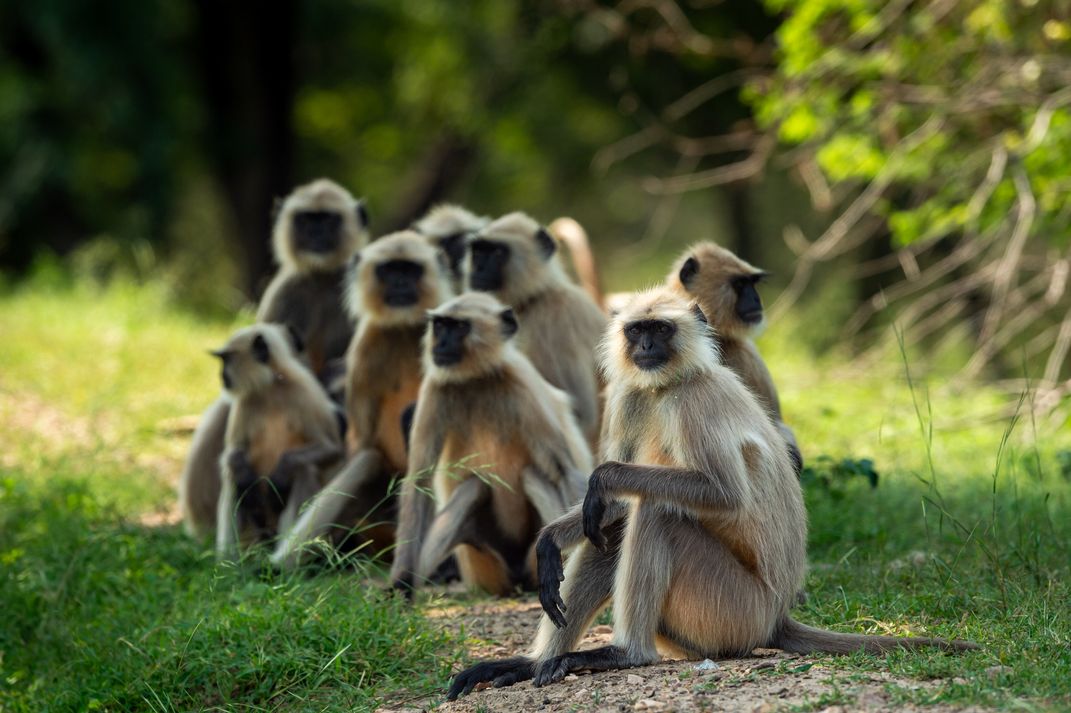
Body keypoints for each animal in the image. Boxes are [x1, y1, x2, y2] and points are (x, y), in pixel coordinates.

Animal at [213, 323, 344, 561]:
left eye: (226, 360)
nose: (222, 375)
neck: (271, 388)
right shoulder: (245, 401)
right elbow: (233, 453)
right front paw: (246, 479)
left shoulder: (305, 392)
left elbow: (330, 449)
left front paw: (281, 474)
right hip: (256, 527)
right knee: (232, 475)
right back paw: (230, 563)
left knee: (303, 470)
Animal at [270, 230, 454, 569]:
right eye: (389, 270)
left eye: (409, 270)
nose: (399, 283)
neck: (404, 328)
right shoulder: (365, 349)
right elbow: (362, 439)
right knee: (367, 459)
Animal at [389, 292, 592, 596]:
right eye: (440, 326)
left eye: (460, 327)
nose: (441, 344)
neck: (477, 379)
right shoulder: (435, 387)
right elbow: (419, 481)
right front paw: (400, 583)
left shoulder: (520, 385)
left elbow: (564, 471)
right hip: (480, 561)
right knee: (473, 486)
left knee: (532, 475)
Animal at [448, 289, 975, 699]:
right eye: (636, 330)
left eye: (660, 329)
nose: (644, 345)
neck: (665, 388)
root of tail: (776, 617)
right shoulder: (629, 395)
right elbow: (608, 509)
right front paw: (550, 542)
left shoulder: (693, 400)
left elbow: (718, 494)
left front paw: (603, 478)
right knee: (610, 528)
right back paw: (534, 663)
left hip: (733, 610)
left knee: (656, 511)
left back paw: (625, 654)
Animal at [464, 212, 607, 441]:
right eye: (478, 252)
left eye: (496, 252)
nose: (478, 268)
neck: (533, 300)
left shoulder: (555, 319)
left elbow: (578, 412)